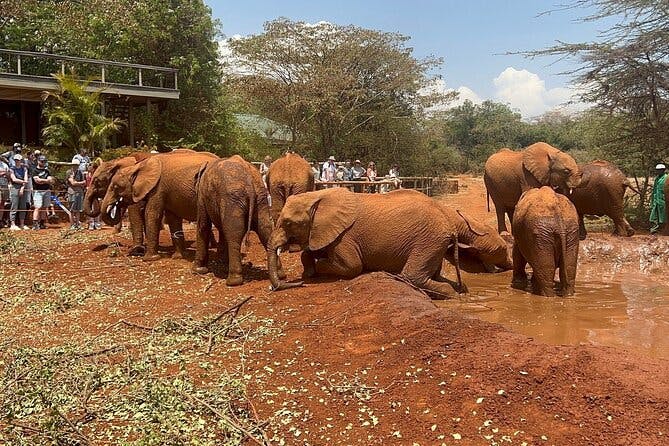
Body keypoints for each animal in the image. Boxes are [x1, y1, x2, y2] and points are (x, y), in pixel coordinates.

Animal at [266, 186, 464, 298]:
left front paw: (316, 268)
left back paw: (452, 294)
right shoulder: (324, 231)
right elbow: (312, 251)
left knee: (412, 276)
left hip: (428, 239)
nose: (296, 283)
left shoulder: (345, 236)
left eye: (288, 223)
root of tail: (450, 224)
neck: (319, 196)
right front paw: (308, 272)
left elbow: (352, 267)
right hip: (434, 241)